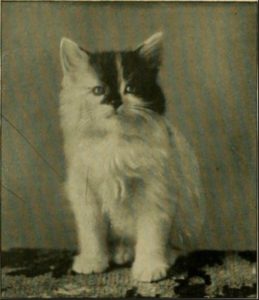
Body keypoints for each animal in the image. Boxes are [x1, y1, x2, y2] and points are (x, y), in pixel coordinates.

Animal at [60, 32, 206, 282]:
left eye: (130, 88)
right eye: (98, 91)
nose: (115, 101)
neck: (115, 142)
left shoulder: (156, 191)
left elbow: (151, 232)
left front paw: (149, 267)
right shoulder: (86, 191)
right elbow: (91, 231)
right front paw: (92, 261)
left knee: (178, 246)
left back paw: (165, 255)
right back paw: (121, 252)